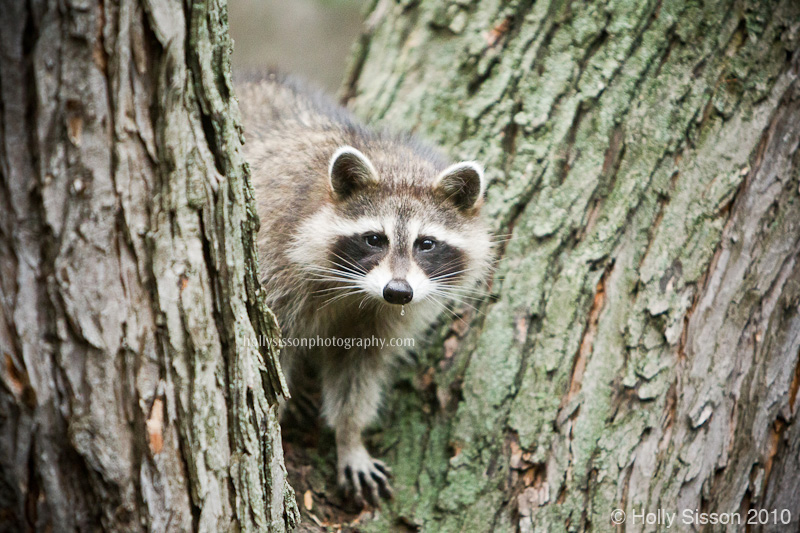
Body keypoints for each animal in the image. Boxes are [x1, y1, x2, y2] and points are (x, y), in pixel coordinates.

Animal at [237, 73, 492, 506]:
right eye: (375, 239)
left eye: (426, 244)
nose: (398, 291)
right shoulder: (276, 265)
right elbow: (274, 354)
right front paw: (281, 419)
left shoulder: (387, 316)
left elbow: (359, 369)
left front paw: (350, 437)